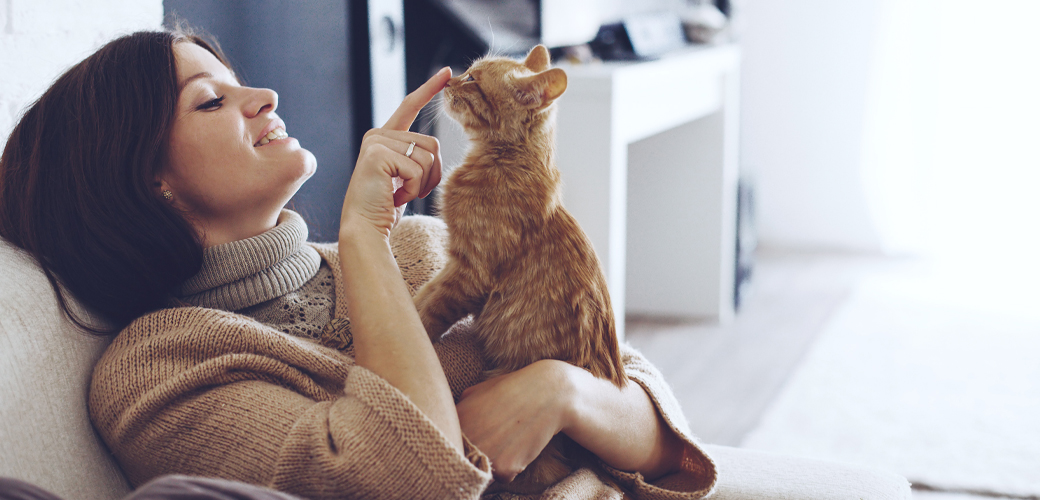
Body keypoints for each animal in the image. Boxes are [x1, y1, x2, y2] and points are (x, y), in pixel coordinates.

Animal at [411, 44, 624, 492]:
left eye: (474, 81)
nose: (450, 79)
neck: (502, 161)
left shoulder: (468, 273)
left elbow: (428, 310)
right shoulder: (456, 266)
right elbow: (423, 294)